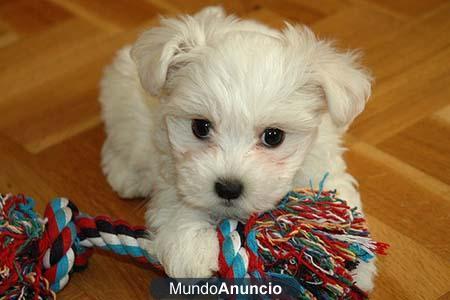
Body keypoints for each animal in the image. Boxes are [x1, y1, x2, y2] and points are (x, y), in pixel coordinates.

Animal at [99, 5, 376, 292]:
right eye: (200, 127)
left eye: (273, 136)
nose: (228, 188)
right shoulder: (173, 162)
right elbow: (176, 197)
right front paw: (191, 247)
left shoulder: (321, 161)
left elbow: (339, 200)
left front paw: (353, 263)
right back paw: (126, 174)